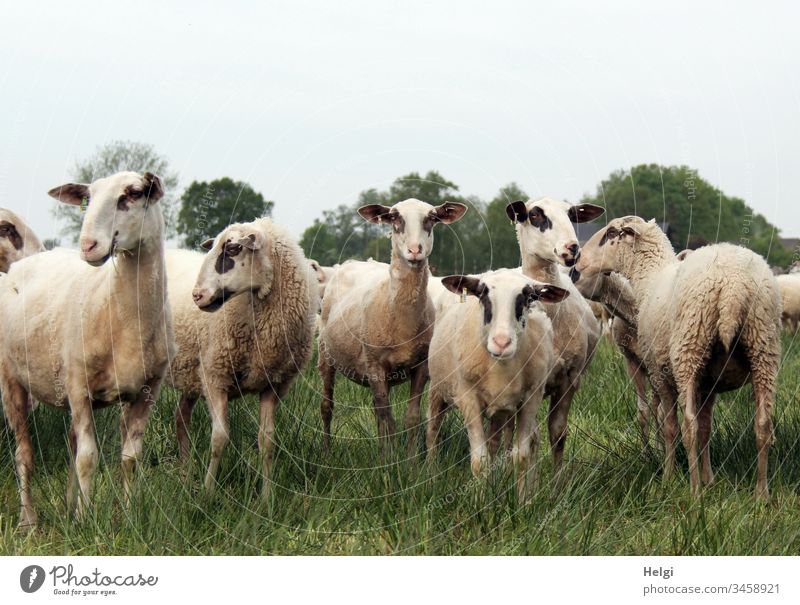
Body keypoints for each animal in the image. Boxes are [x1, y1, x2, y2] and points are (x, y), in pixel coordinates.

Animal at [0, 170, 173, 524]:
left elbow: (129, 459)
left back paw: (67, 507)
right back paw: (29, 519)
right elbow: (88, 457)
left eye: (132, 194)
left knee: (71, 444)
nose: (89, 246)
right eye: (88, 199)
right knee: (24, 452)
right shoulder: (79, 387)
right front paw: (84, 520)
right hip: (12, 381)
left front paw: (127, 517)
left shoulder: (148, 390)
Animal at [167, 217, 318, 500]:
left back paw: (184, 474)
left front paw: (267, 497)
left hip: (191, 373)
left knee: (181, 418)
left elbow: (267, 441)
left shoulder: (273, 385)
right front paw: (208, 493)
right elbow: (219, 438)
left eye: (233, 249)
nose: (197, 296)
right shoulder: (215, 377)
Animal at [318, 198, 468, 448]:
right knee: (327, 407)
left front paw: (408, 458)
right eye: (395, 217)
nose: (415, 250)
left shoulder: (421, 367)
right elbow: (388, 420)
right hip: (325, 353)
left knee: (378, 412)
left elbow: (410, 418)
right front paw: (390, 458)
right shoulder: (375, 365)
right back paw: (327, 451)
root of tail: (354, 262)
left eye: (432, 218)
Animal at [424, 268, 568, 500]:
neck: (501, 367)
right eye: (482, 294)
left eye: (529, 297)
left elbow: (521, 456)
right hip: (438, 389)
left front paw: (522, 501)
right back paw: (432, 476)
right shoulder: (468, 399)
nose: (502, 343)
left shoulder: (531, 399)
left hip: (501, 410)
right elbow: (479, 461)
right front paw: (479, 503)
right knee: (432, 431)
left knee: (494, 444)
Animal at [572, 216, 784, 496]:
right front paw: (710, 479)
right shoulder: (709, 383)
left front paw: (670, 477)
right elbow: (706, 428)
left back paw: (694, 492)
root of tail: (733, 287)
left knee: (688, 426)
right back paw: (761, 493)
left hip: (688, 350)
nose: (576, 264)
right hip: (763, 347)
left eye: (610, 234)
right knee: (763, 424)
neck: (648, 278)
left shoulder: (659, 372)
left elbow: (670, 425)